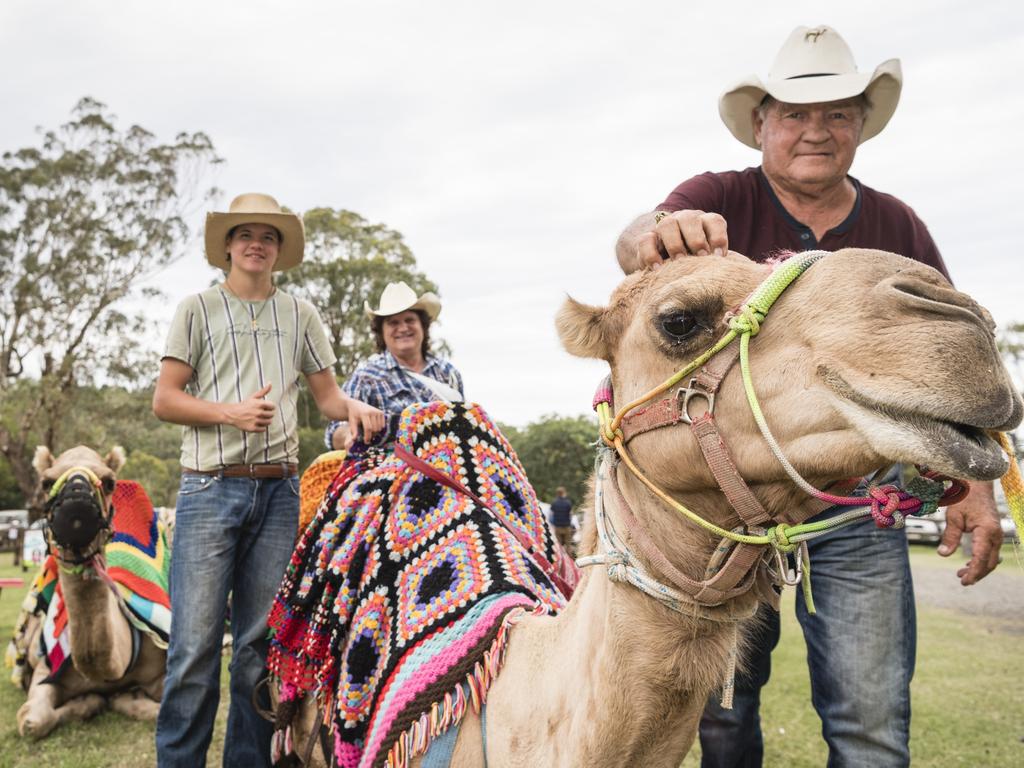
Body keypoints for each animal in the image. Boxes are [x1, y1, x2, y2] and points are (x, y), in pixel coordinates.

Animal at [12, 444, 168, 741]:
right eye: (46, 482)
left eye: (109, 482)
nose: (77, 508)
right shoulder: (45, 669)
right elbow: (31, 720)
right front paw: (89, 701)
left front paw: (123, 697)